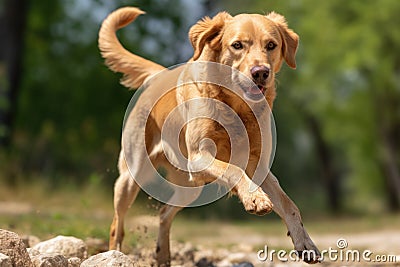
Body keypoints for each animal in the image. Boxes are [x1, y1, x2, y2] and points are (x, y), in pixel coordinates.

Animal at [98, 5, 320, 266]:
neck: (236, 106)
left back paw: (163, 255)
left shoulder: (259, 165)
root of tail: (158, 75)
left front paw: (305, 243)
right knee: (117, 224)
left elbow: (290, 205)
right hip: (131, 176)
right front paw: (255, 198)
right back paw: (115, 254)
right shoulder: (200, 157)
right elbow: (235, 170)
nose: (261, 72)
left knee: (164, 214)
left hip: (190, 187)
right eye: (237, 45)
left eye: (271, 45)